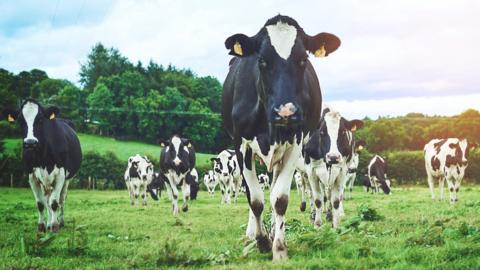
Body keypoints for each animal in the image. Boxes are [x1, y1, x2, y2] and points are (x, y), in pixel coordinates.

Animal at [3, 99, 82, 232]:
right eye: (20, 121)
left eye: (40, 120)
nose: (30, 143)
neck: (43, 157)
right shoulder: (31, 175)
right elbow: (40, 203)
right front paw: (42, 226)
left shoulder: (60, 174)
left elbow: (54, 202)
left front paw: (54, 226)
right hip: (44, 181)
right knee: (47, 199)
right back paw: (49, 223)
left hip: (67, 179)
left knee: (61, 199)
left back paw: (60, 222)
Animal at [222, 14, 342, 260]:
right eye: (261, 61)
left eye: (303, 59)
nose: (285, 112)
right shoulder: (241, 145)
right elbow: (255, 200)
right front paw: (261, 241)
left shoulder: (295, 144)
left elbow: (279, 199)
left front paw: (278, 247)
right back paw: (251, 234)